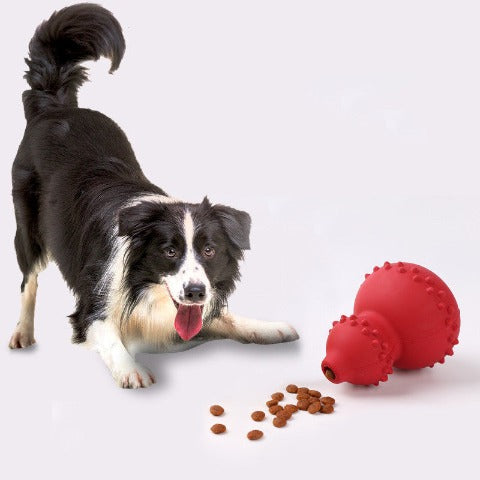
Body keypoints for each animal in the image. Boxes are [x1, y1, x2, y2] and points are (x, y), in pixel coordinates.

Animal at [9, 2, 298, 386]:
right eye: (169, 251)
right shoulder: (91, 306)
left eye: (209, 250)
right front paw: (132, 370)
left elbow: (227, 317)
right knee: (28, 279)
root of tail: (56, 108)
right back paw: (22, 332)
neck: (144, 288)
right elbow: (106, 333)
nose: (195, 292)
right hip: (28, 222)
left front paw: (270, 328)